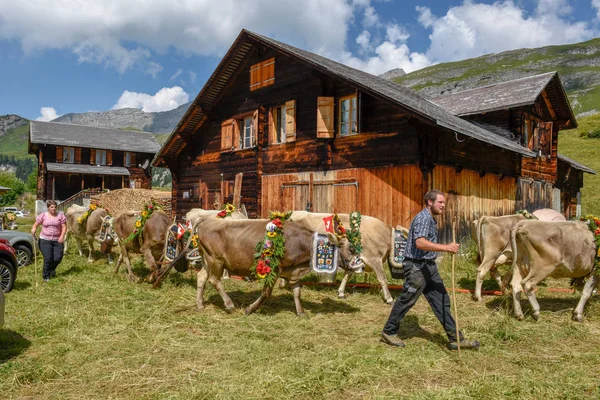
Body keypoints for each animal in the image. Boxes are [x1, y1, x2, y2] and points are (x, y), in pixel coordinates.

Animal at [195, 216, 358, 316]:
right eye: (351, 249)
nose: (358, 265)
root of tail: (207, 220)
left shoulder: (293, 272)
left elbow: (297, 292)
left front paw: (301, 312)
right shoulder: (273, 269)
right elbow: (266, 293)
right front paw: (250, 309)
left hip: (207, 260)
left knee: (201, 277)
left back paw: (200, 304)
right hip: (215, 259)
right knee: (214, 280)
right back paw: (229, 304)